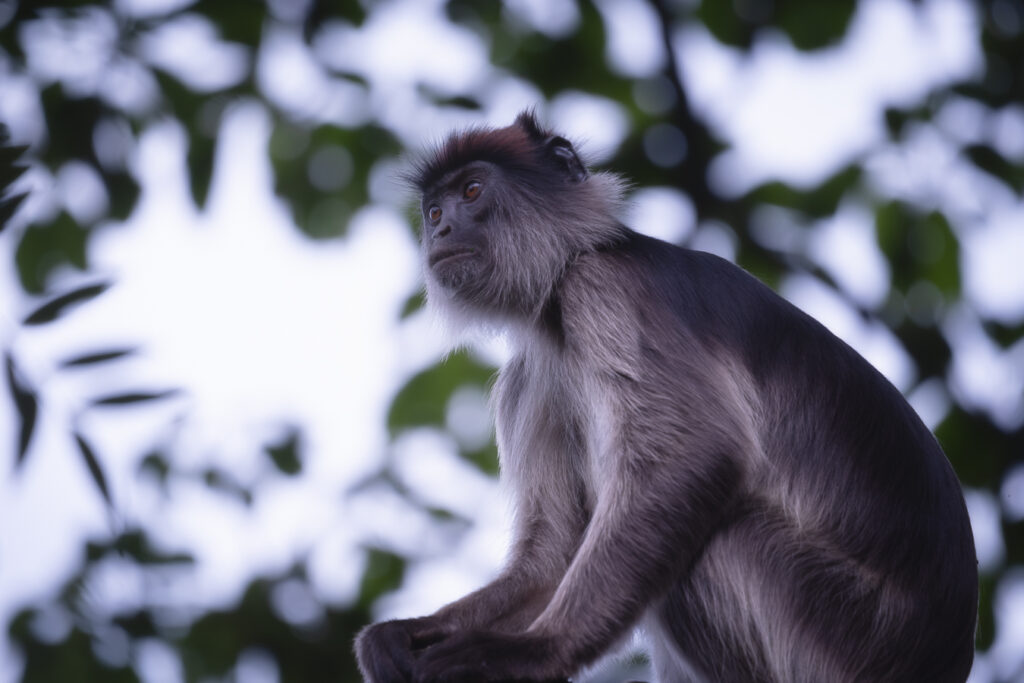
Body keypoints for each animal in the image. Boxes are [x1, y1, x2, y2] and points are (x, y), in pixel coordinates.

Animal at [354, 111, 978, 683]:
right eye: (434, 211)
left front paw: (533, 652)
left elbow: (696, 454)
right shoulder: (527, 375)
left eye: (472, 191)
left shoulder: (607, 289)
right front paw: (403, 636)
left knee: (718, 530)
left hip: (841, 628)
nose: (440, 233)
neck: (558, 297)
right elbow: (553, 556)